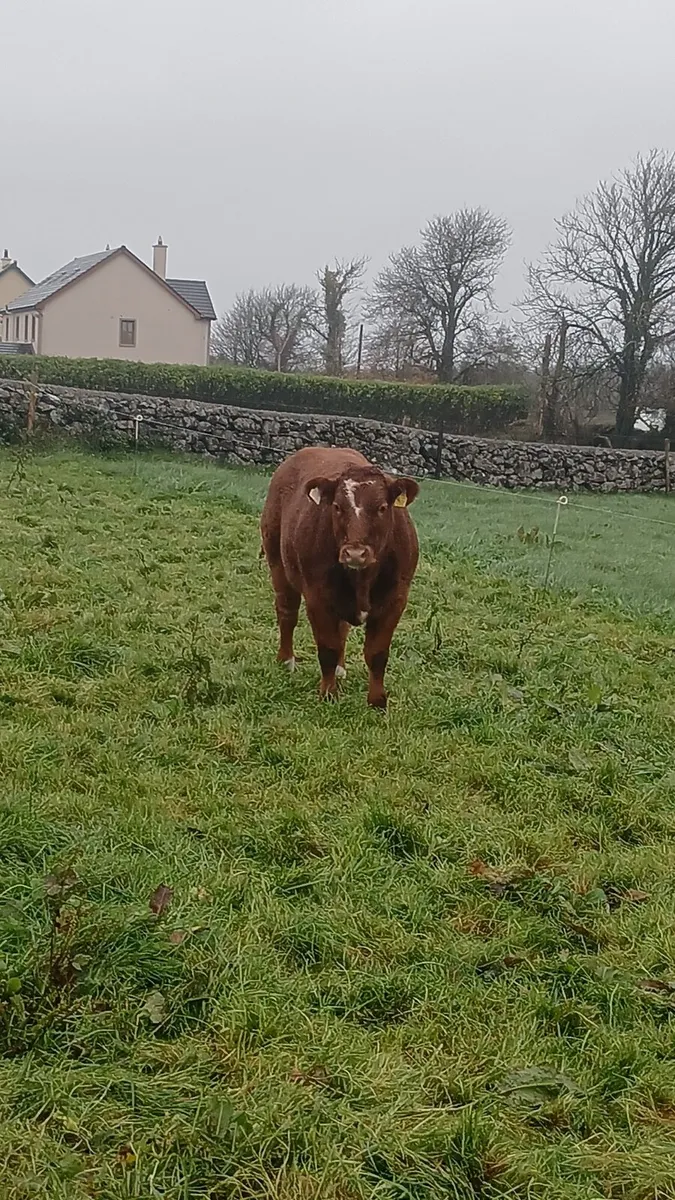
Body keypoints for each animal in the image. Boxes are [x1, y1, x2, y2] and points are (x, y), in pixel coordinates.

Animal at [260, 447, 419, 709]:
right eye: (336, 506)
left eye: (382, 507)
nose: (355, 553)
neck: (363, 579)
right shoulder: (317, 598)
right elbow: (328, 648)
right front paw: (328, 694)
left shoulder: (395, 599)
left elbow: (377, 653)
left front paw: (377, 701)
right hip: (277, 562)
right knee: (287, 612)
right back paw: (286, 660)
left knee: (341, 628)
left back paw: (340, 669)